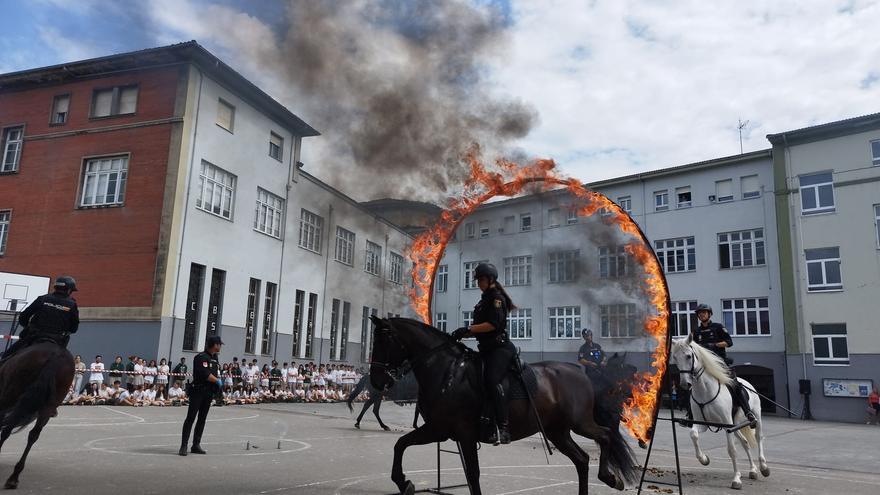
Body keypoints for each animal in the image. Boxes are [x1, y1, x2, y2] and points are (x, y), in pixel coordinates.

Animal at [0, 342, 74, 490]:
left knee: (7, 429)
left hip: (10, 396)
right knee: (33, 435)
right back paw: (14, 477)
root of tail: (56, 355)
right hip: (47, 407)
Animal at [368, 318, 636, 495]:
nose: (376, 381)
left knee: (605, 435)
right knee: (581, 459)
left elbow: (473, 474)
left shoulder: (463, 434)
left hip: (579, 423)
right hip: (557, 432)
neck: (447, 371)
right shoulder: (438, 429)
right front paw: (403, 482)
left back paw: (609, 477)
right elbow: (400, 444)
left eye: (382, 340)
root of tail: (580, 373)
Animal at [672, 340, 768, 490]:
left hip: (755, 417)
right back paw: (753, 470)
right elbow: (693, 435)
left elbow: (732, 450)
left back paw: (763, 467)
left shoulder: (727, 425)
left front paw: (736, 479)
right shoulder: (703, 424)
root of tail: (747, 383)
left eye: (688, 356)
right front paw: (704, 459)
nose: (684, 384)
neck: (705, 390)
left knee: (758, 437)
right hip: (735, 425)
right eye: (675, 358)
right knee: (745, 442)